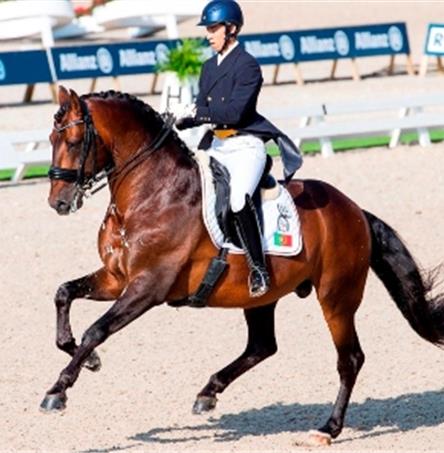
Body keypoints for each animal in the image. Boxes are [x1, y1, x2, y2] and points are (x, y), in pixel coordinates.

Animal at [43, 85, 444, 444]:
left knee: (350, 358)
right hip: (263, 296)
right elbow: (63, 294)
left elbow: (97, 329)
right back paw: (208, 393)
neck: (152, 193)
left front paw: (58, 390)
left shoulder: (148, 287)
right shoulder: (116, 278)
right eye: (50, 138)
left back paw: (327, 429)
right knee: (262, 346)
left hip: (336, 297)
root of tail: (354, 209)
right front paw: (87, 359)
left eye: (75, 141)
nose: (58, 203)